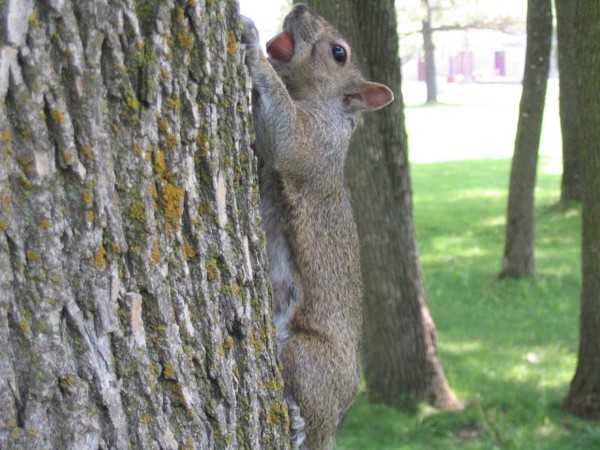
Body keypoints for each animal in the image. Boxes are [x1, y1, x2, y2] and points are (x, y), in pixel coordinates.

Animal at [241, 4, 396, 450]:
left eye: (339, 53)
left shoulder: (313, 147)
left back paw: (297, 422)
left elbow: (288, 139)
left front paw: (251, 45)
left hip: (306, 356)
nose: (300, 8)